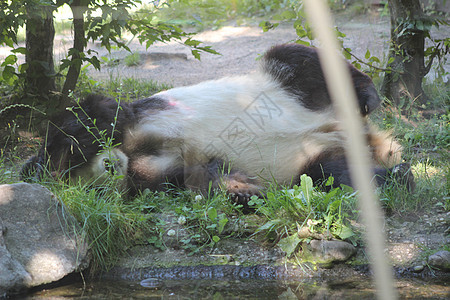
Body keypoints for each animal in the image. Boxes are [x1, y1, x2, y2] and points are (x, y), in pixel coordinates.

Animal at [21, 42, 414, 202]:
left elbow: (97, 113)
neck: (133, 149)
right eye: (90, 182)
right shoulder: (151, 174)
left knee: (297, 60)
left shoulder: (137, 112)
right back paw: (395, 173)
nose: (109, 165)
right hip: (315, 156)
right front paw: (245, 190)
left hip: (278, 84)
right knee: (333, 172)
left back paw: (366, 95)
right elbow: (203, 174)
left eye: (77, 162)